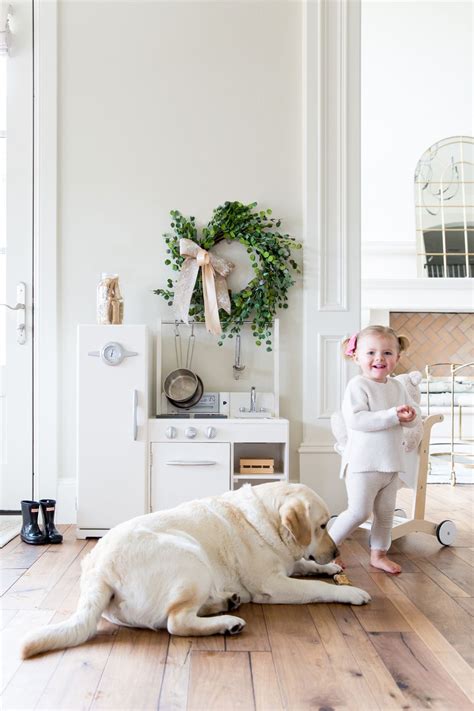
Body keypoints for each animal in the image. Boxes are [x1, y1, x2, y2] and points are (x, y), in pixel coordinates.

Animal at [21, 482, 370, 660]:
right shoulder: (273, 584)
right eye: (322, 526)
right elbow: (317, 588)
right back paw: (227, 621)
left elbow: (305, 563)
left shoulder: (288, 562)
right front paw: (350, 591)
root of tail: (97, 572)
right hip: (192, 557)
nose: (337, 551)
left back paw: (226, 602)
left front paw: (330, 567)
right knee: (176, 622)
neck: (269, 521)